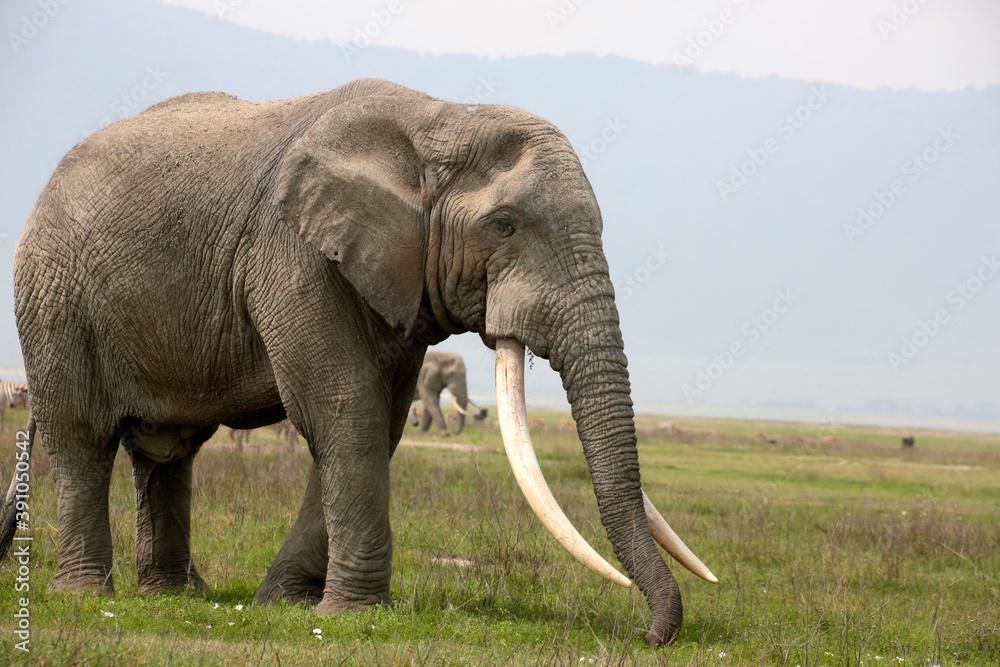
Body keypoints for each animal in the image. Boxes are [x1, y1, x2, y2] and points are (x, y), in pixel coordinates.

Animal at [0, 78, 715, 647]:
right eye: (505, 225)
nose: (648, 636)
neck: (438, 121)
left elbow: (377, 420)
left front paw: (284, 603)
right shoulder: (293, 251)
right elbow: (345, 411)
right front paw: (352, 615)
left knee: (167, 450)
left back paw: (175, 596)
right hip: (53, 294)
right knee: (82, 437)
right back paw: (85, 595)